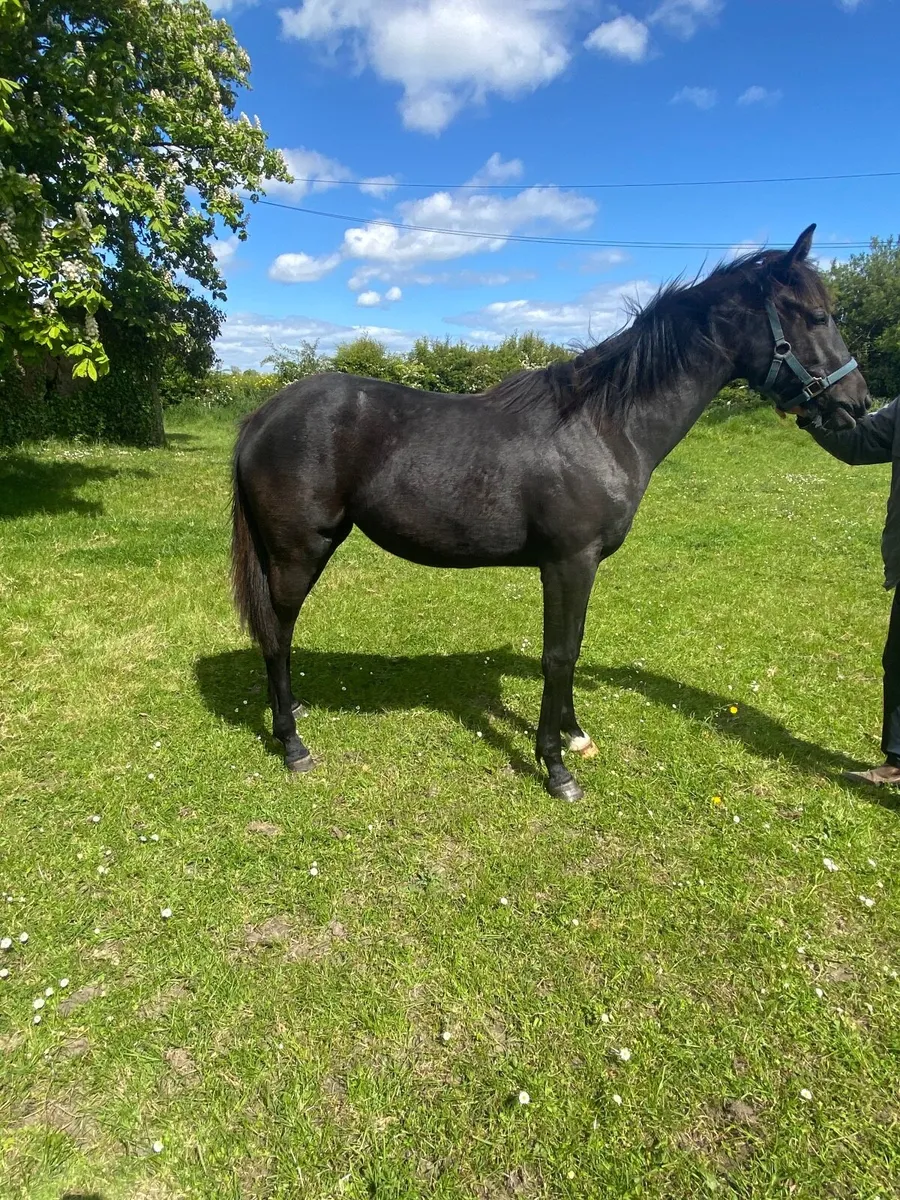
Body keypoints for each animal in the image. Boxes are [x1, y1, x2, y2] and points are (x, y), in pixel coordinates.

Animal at [230, 224, 869, 800]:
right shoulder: (568, 563)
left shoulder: (581, 567)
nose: (857, 403)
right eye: (817, 317)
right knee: (277, 633)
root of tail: (264, 415)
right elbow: (558, 656)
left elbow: (574, 646)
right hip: (298, 553)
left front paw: (576, 735)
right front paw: (556, 767)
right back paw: (292, 743)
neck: (604, 426)